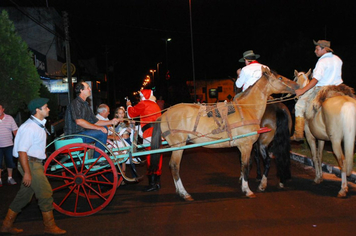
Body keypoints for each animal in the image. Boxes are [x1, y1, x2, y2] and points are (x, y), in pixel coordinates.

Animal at [151, 67, 300, 201]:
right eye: (280, 78)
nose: (297, 85)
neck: (247, 109)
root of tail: (164, 114)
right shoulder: (246, 145)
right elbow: (246, 166)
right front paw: (247, 190)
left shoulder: (244, 146)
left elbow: (244, 165)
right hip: (179, 146)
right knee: (174, 166)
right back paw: (184, 193)